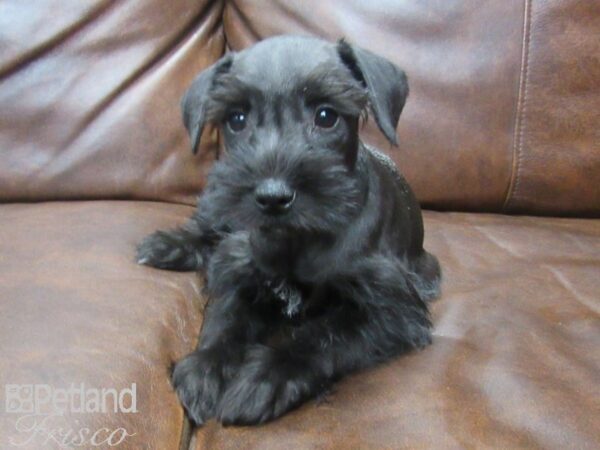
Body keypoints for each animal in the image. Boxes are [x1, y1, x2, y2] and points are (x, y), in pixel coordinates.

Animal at [138, 34, 442, 426]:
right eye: (236, 119)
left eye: (326, 116)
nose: (272, 197)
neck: (296, 240)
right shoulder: (240, 268)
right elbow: (226, 317)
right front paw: (206, 367)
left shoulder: (392, 309)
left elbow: (324, 335)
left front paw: (266, 377)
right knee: (211, 227)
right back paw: (167, 245)